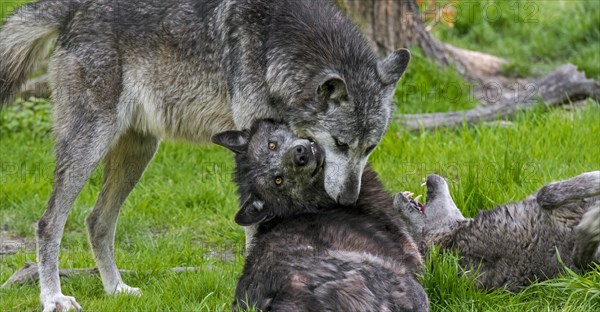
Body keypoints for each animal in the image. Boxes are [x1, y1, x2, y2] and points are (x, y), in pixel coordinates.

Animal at [213, 119, 428, 312]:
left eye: (271, 145)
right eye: (278, 180)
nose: (300, 155)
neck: (316, 204)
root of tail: (284, 298)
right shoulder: (416, 259)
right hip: (410, 287)